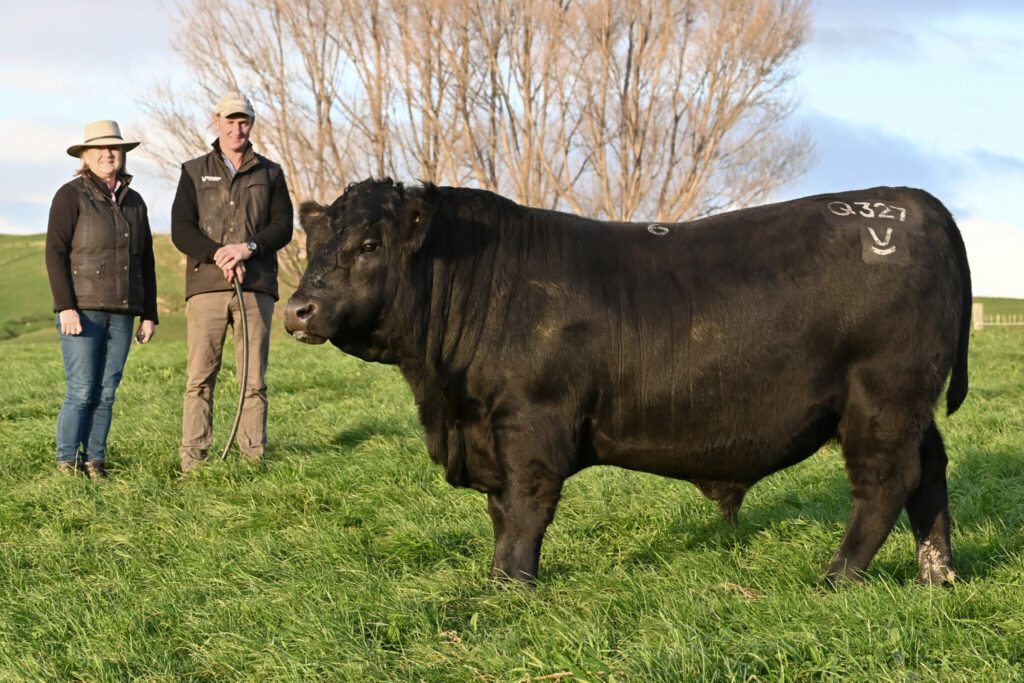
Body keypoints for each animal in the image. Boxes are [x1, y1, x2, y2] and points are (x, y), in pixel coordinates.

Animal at [285, 178, 971, 586]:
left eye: (369, 244)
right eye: (314, 241)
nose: (298, 310)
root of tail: (910, 201)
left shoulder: (532, 420)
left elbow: (525, 508)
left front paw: (509, 584)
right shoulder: (489, 428)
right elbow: (499, 510)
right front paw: (502, 574)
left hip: (883, 395)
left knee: (887, 482)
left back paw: (837, 577)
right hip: (911, 405)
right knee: (930, 474)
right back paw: (936, 575)